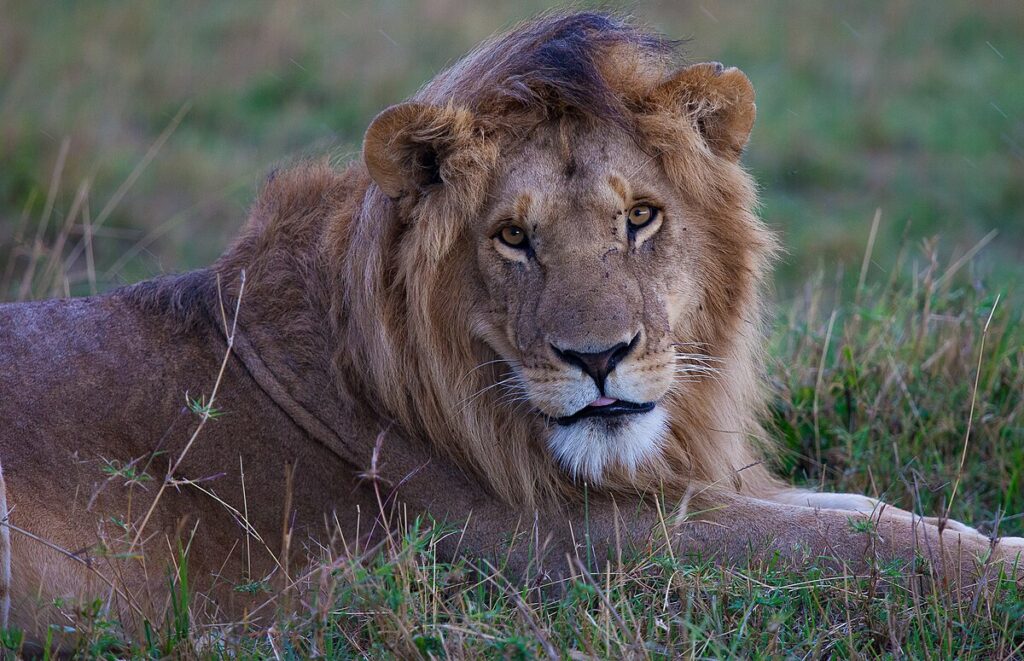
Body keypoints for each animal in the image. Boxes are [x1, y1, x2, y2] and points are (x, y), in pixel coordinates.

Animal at [0, 11, 1020, 648]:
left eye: (639, 218)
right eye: (513, 237)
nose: (599, 358)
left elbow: (855, 509)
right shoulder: (553, 550)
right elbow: (842, 545)